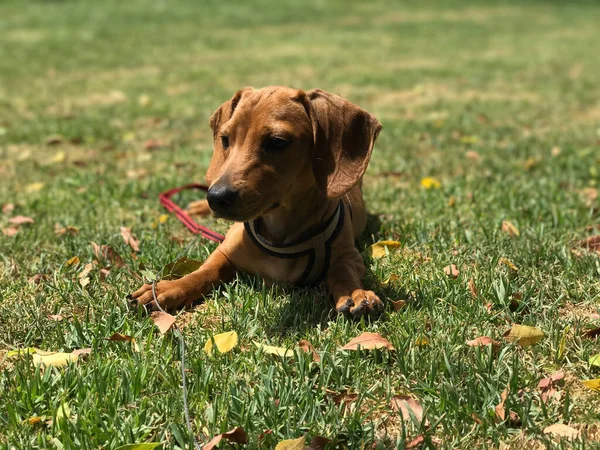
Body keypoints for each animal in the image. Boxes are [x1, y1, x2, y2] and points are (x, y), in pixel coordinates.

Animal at [130, 87, 384, 316]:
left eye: (278, 141)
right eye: (225, 139)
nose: (216, 197)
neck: (280, 232)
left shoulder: (349, 255)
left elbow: (343, 270)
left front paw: (355, 293)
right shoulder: (224, 252)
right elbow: (203, 272)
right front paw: (167, 288)